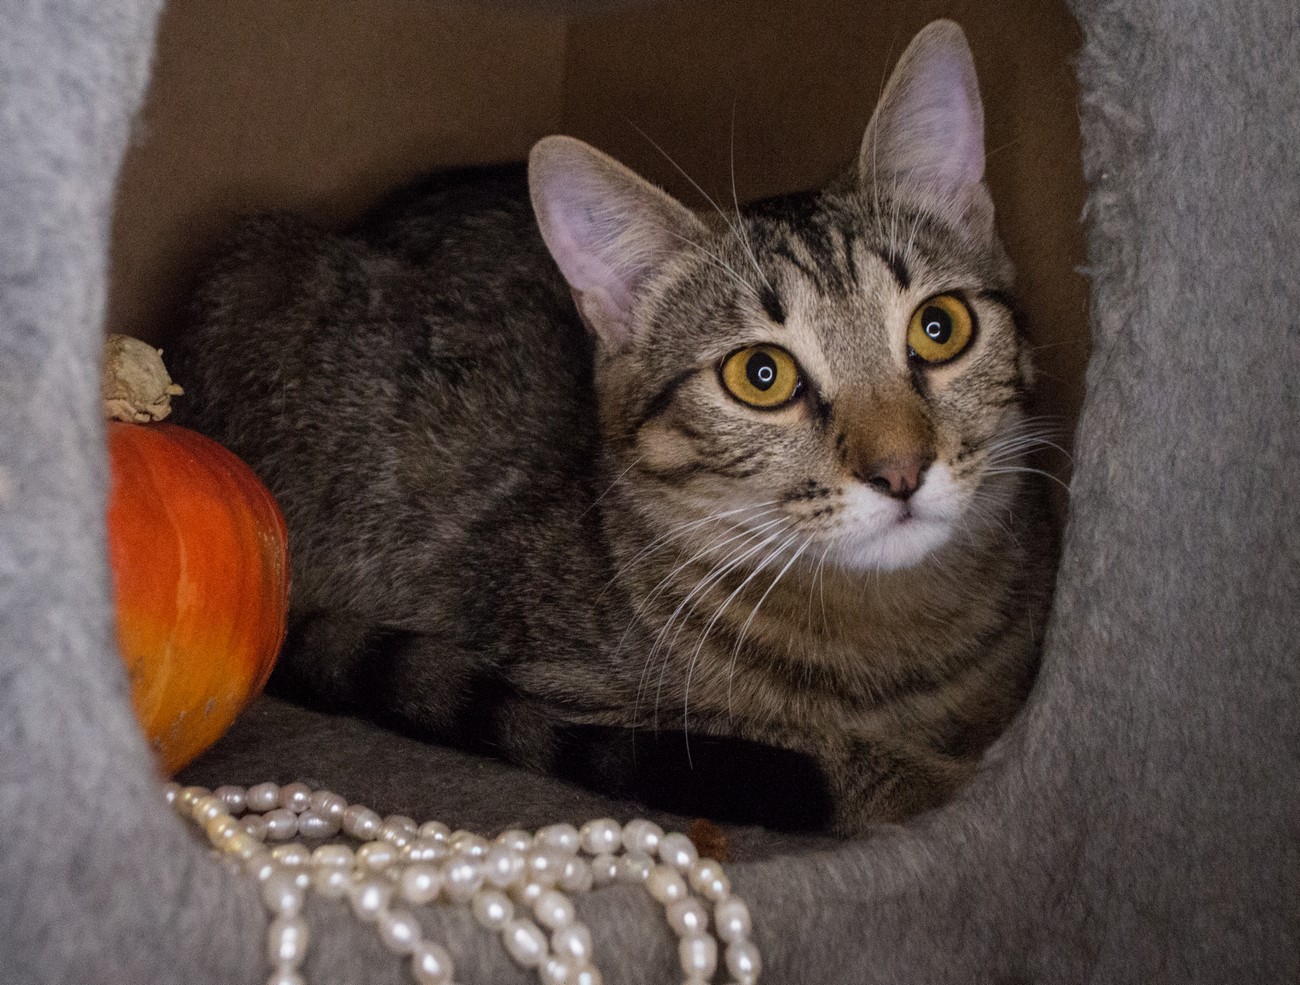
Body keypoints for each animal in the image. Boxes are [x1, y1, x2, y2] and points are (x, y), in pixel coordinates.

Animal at [171, 20, 1056, 837]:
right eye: (761, 375)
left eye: (940, 327)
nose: (901, 468)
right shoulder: (575, 692)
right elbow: (818, 754)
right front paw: (930, 781)